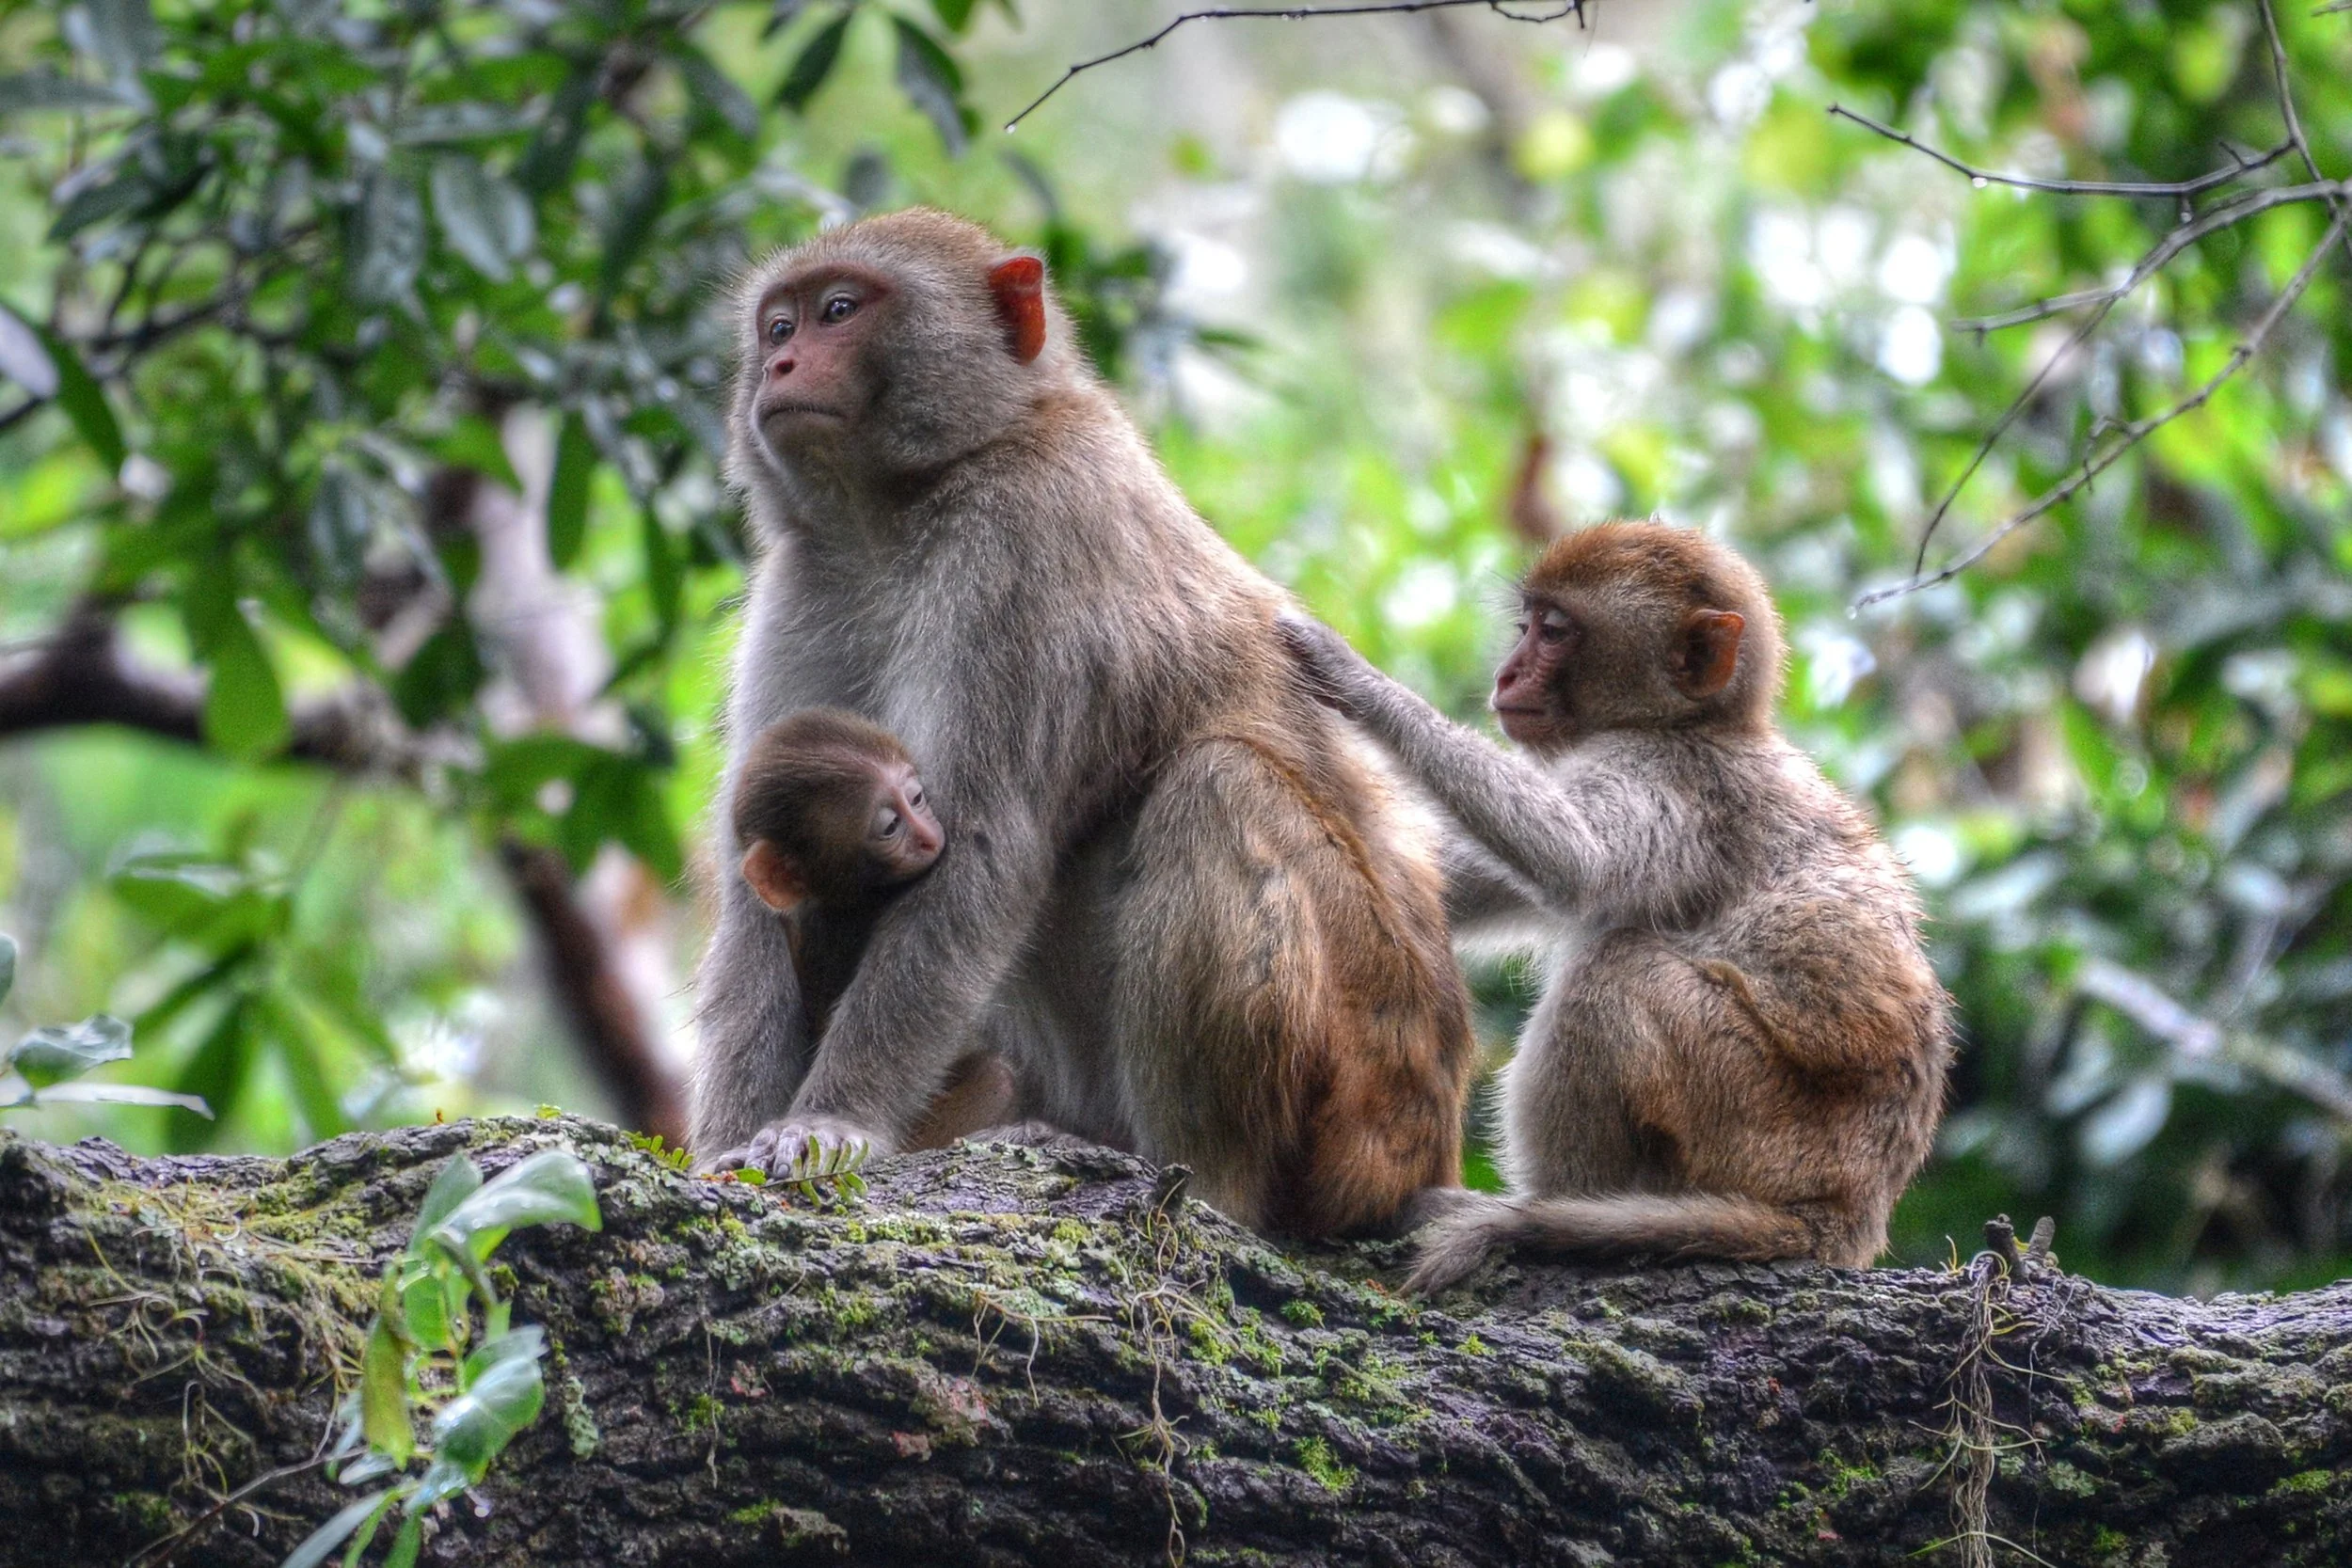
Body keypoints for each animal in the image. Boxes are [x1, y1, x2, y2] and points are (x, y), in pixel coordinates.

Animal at [1278, 521, 1952, 1289]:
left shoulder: (1671, 783)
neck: (1693, 724)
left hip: (1758, 1125)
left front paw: (1352, 676)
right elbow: (1441, 884)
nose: (1507, 675)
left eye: (1555, 632)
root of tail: (1848, 1214)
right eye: (1526, 625)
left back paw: (1548, 1205)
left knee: (1613, 971)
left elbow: (1575, 859)